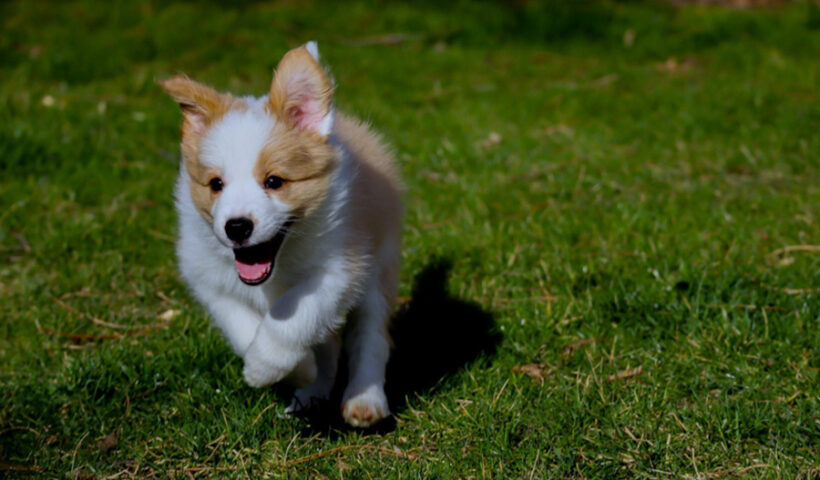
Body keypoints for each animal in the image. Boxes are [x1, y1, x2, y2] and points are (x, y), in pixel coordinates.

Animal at [159, 42, 402, 428]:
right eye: (216, 184)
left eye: (274, 181)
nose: (236, 227)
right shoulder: (208, 278)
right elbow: (242, 326)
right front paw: (297, 370)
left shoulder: (339, 269)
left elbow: (292, 315)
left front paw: (263, 367)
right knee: (331, 344)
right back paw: (313, 391)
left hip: (380, 267)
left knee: (371, 337)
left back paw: (364, 400)